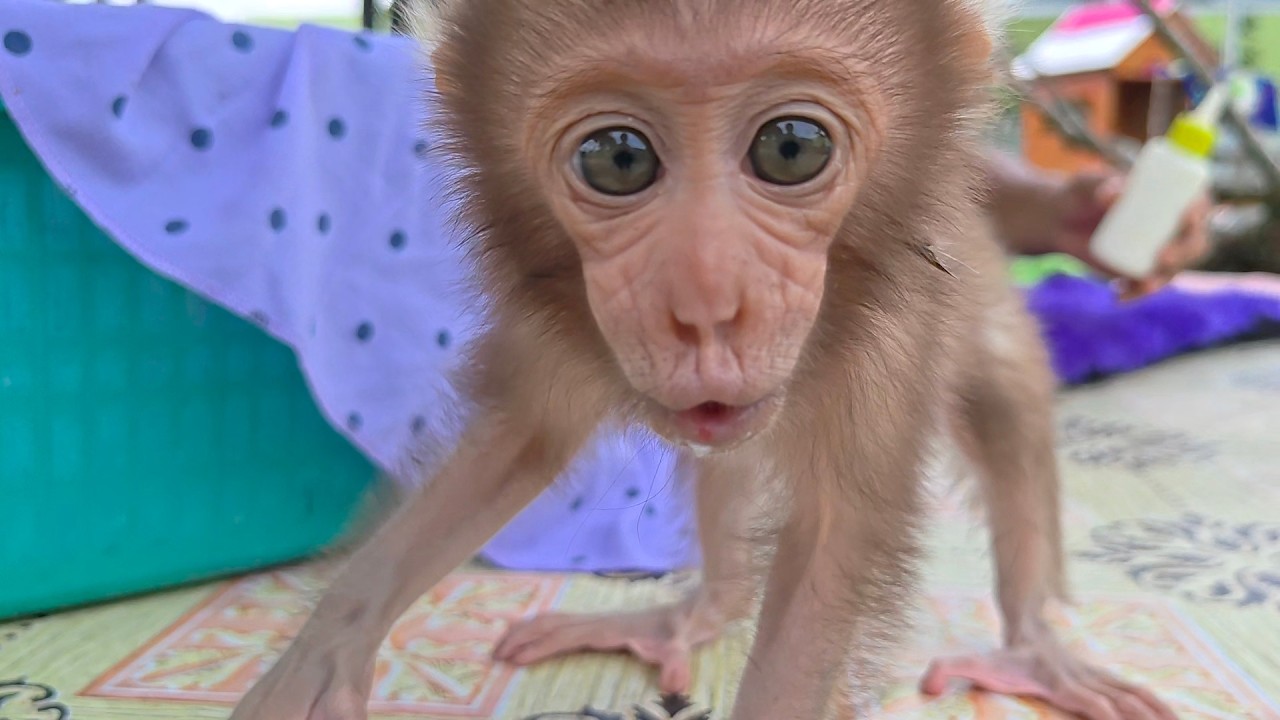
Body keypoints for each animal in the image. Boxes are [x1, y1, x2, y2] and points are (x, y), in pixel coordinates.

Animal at [228, 0, 1178, 719]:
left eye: (791, 148)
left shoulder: (895, 326)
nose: (707, 302)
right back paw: (697, 613)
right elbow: (521, 440)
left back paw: (1037, 653)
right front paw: (328, 645)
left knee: (1006, 394)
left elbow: (833, 533)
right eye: (617, 159)